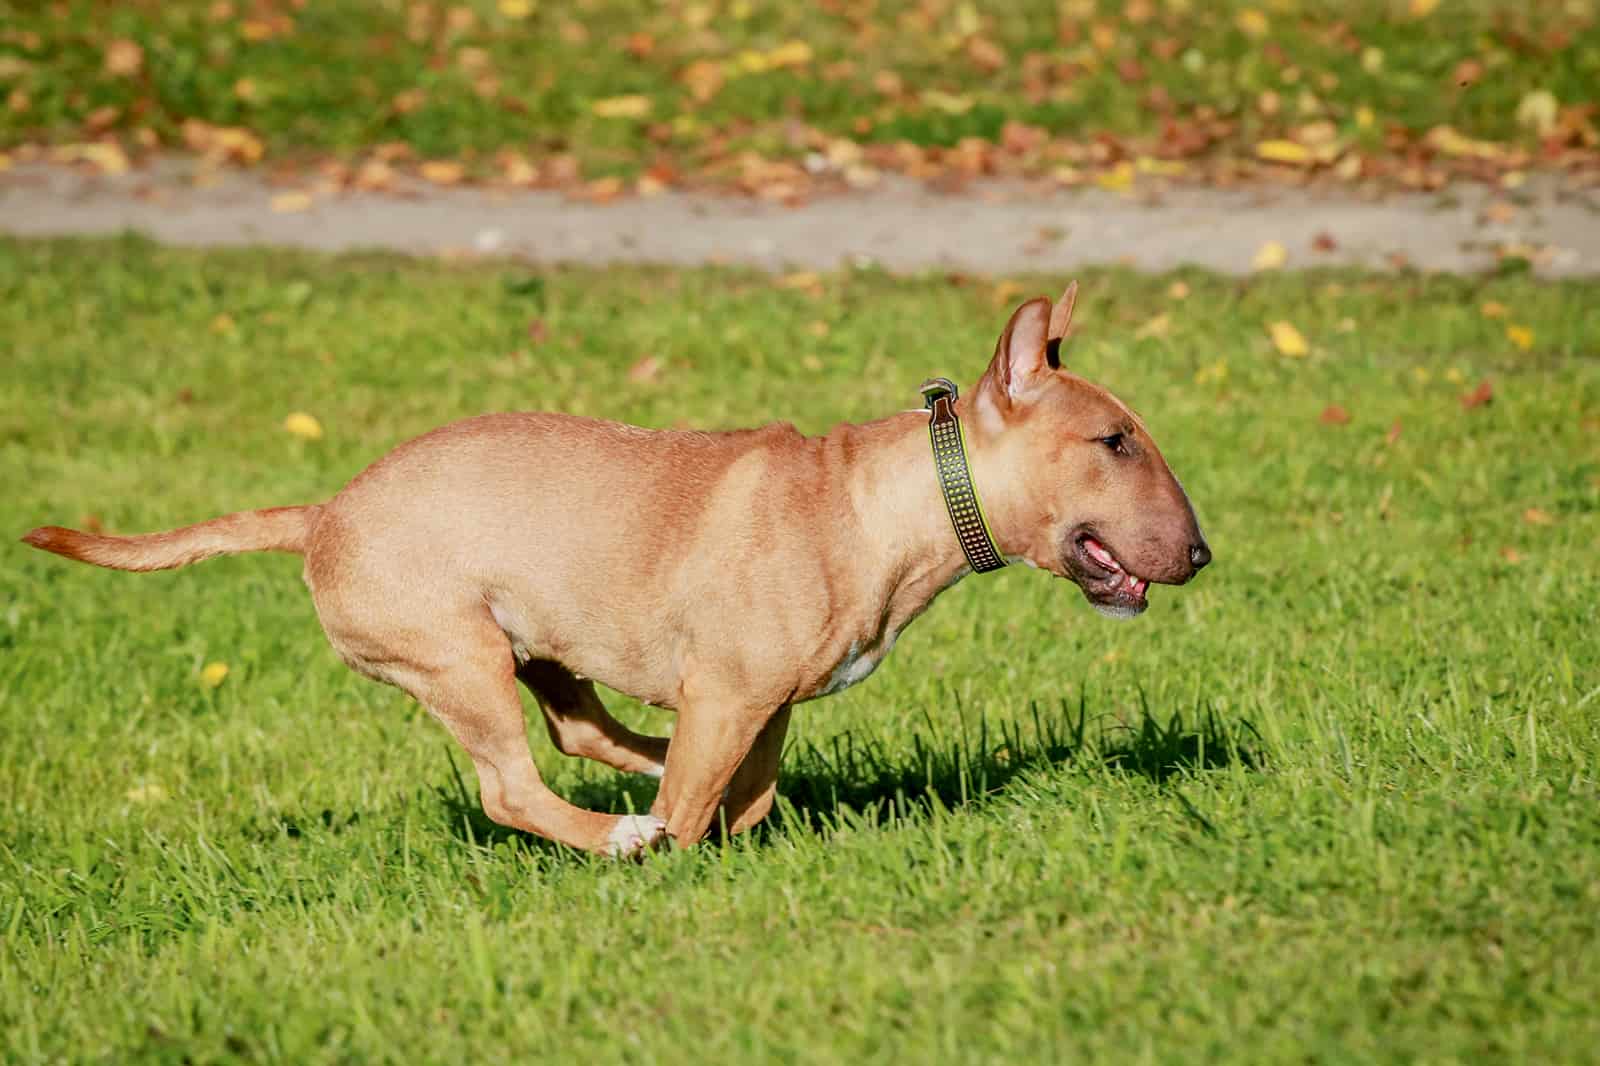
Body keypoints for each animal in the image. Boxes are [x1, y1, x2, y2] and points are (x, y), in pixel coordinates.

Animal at [25, 281, 1203, 857]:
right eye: (1113, 443)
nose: (1199, 554)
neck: (885, 501)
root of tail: (325, 514)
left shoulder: (759, 702)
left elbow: (748, 794)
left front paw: (731, 832)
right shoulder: (732, 691)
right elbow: (708, 798)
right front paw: (681, 853)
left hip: (537, 645)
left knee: (584, 733)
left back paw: (641, 779)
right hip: (458, 657)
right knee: (514, 788)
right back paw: (622, 834)